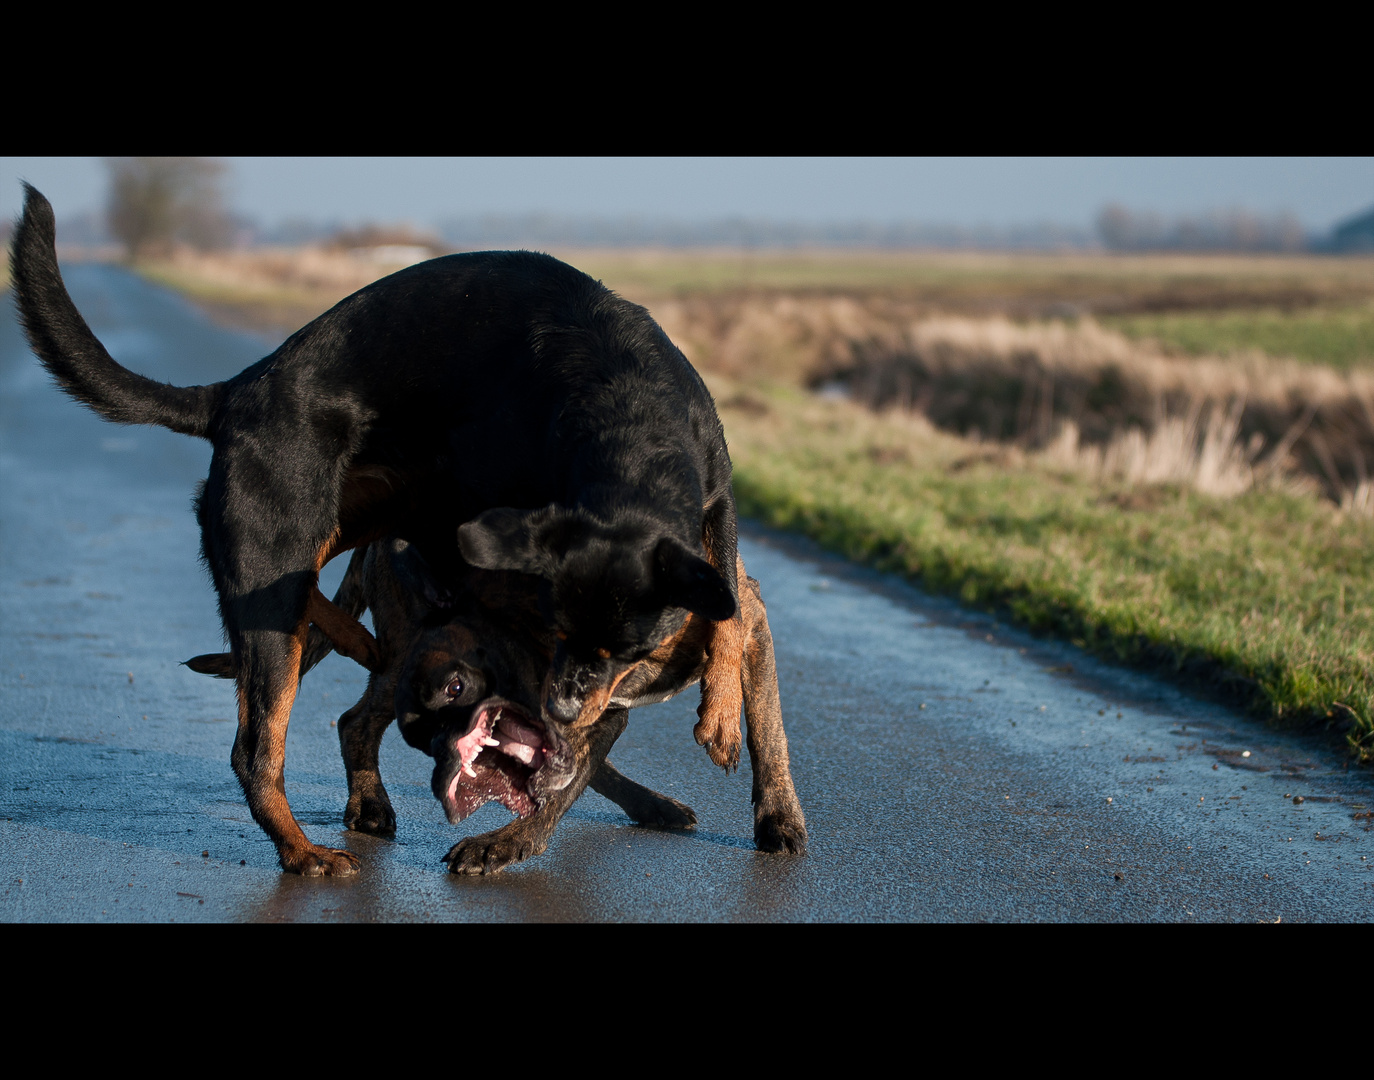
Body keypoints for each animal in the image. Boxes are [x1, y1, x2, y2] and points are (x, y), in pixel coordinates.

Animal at [8, 186, 752, 873]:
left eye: (633, 648)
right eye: (564, 630)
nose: (566, 709)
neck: (628, 428)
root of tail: (234, 392)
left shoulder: (716, 503)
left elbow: (729, 606)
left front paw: (719, 712)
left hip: (354, 522)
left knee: (323, 596)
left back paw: (355, 642)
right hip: (277, 561)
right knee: (257, 748)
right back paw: (302, 850)